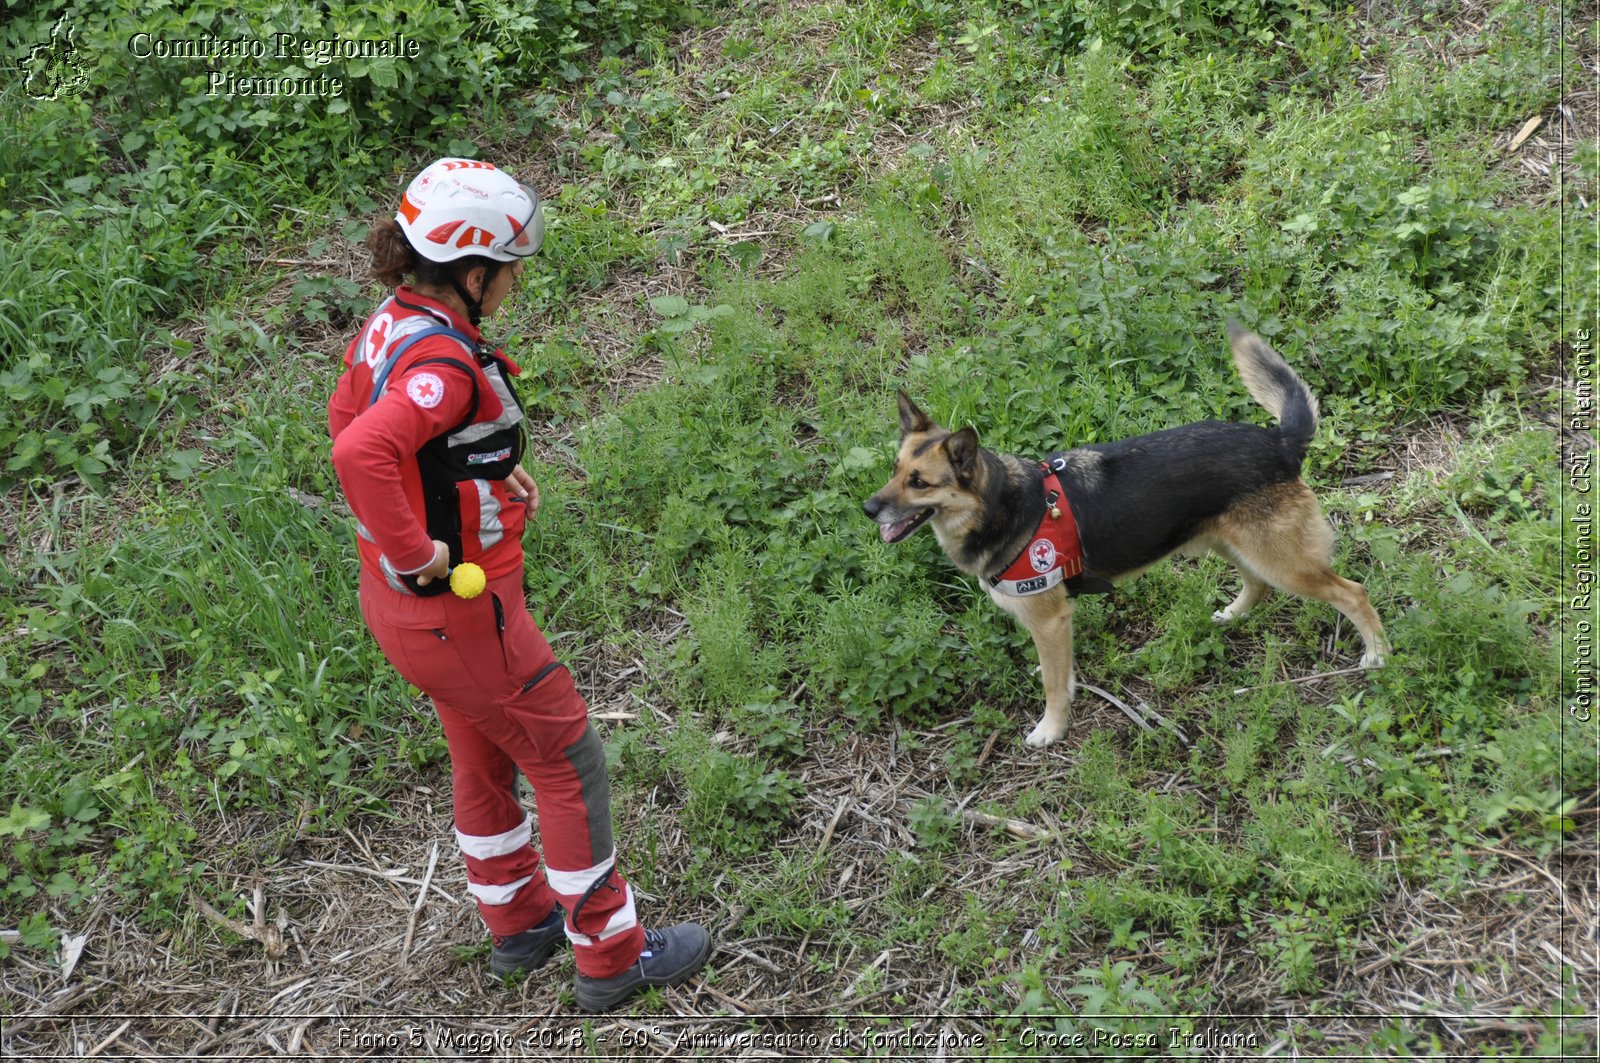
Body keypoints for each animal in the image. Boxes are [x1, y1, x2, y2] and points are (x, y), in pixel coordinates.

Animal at [864, 323, 1388, 746]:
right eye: (895, 469)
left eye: (920, 482)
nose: (868, 508)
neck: (999, 505)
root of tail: (1279, 441)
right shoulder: (1055, 626)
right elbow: (1060, 673)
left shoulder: (1050, 620)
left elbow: (1053, 686)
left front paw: (1050, 730)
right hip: (1228, 543)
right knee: (1256, 584)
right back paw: (1234, 615)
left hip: (1283, 561)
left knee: (1354, 592)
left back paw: (1377, 654)